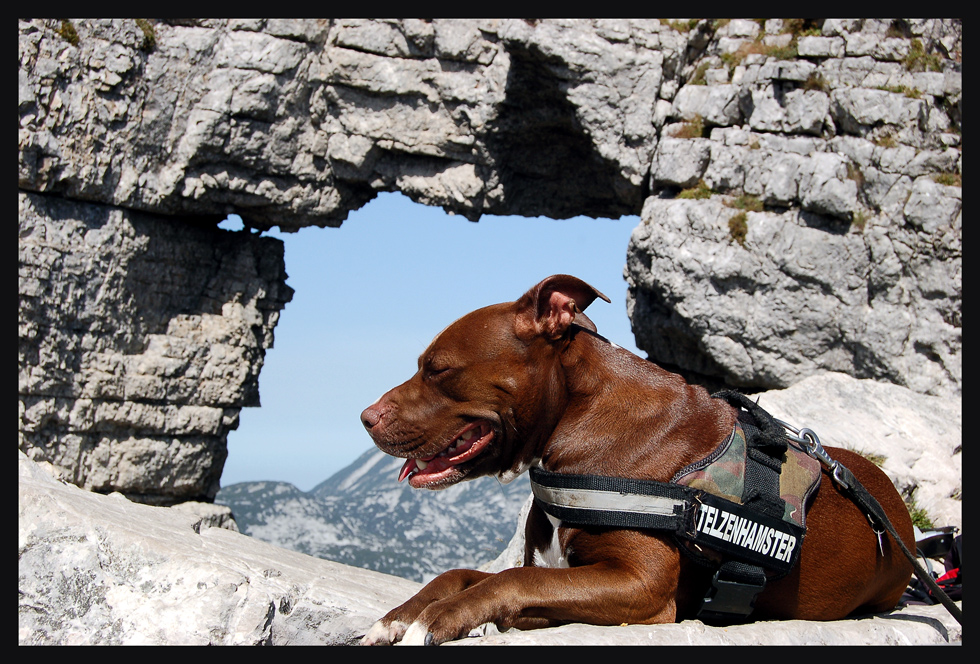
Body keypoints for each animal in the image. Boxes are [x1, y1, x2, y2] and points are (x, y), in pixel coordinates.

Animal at [360, 274, 920, 644]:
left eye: (438, 369)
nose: (365, 416)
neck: (578, 417)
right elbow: (461, 575)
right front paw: (400, 616)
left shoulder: (640, 585)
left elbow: (515, 580)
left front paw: (437, 619)